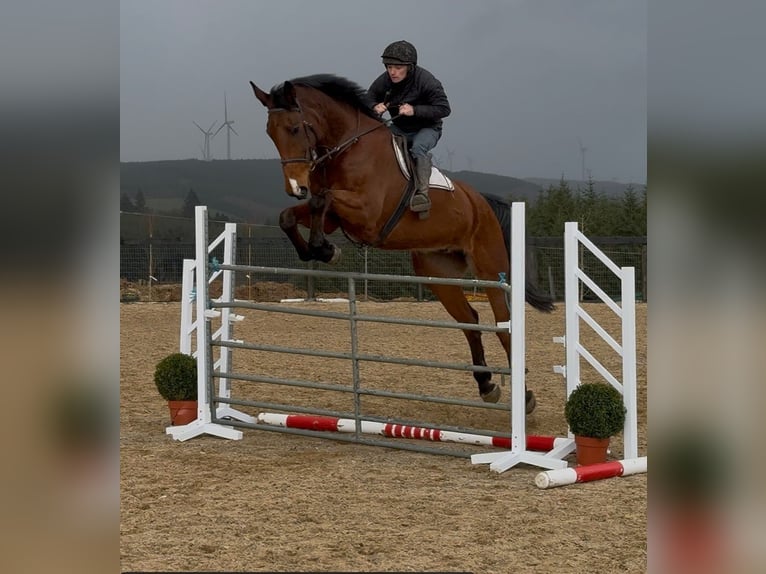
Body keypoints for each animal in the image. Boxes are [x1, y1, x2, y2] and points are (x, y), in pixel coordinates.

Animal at [249, 74, 553, 412]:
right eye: (270, 132)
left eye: (294, 128)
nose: (295, 187)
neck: (346, 146)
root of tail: (482, 203)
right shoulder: (334, 219)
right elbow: (291, 216)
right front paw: (322, 250)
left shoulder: (366, 213)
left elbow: (321, 199)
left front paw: (325, 248)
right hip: (438, 275)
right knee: (470, 321)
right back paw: (486, 385)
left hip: (490, 271)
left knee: (503, 325)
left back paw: (525, 397)